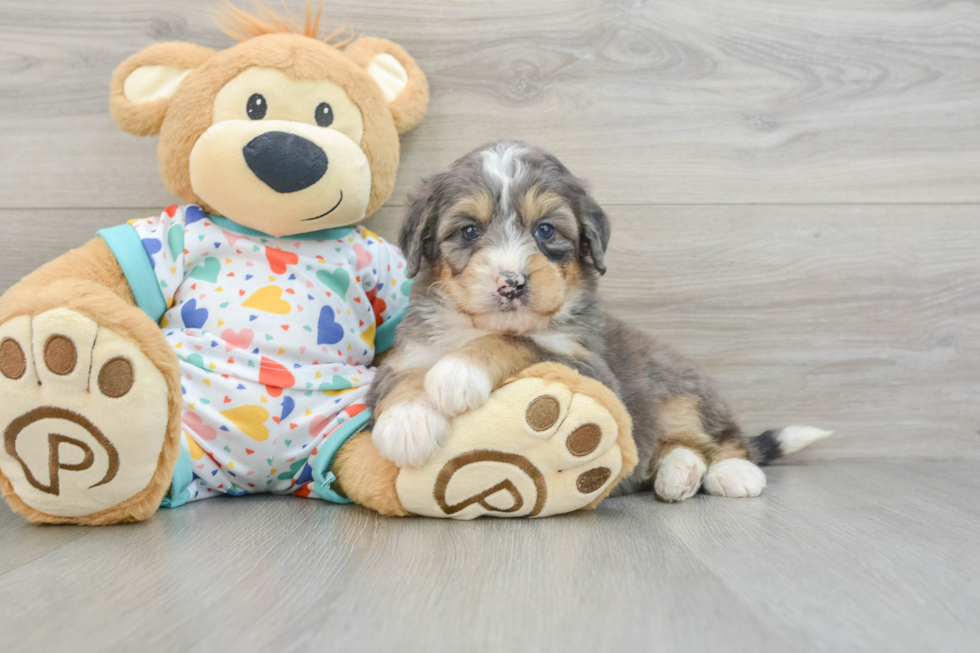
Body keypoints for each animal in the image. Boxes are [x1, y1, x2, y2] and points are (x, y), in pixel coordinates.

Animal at [368, 141, 828, 500]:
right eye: (468, 231)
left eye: (546, 230)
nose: (512, 284)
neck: (477, 325)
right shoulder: (405, 353)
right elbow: (405, 379)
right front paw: (406, 423)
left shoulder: (591, 368)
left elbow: (519, 341)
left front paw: (458, 372)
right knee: (674, 446)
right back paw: (678, 472)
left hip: (679, 391)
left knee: (723, 437)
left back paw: (732, 472)